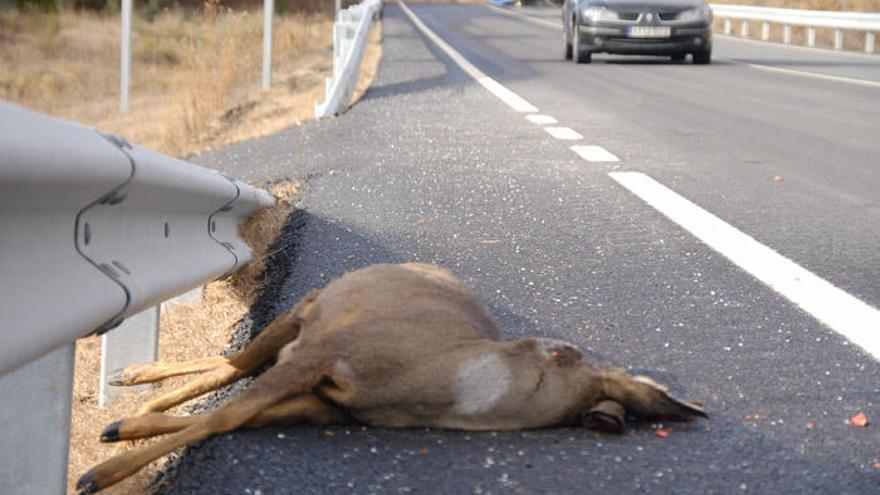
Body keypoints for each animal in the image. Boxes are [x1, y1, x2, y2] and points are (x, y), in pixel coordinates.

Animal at [77, 264, 708, 492]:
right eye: (561, 350)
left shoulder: (331, 404)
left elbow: (234, 416)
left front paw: (122, 436)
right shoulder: (329, 350)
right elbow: (227, 410)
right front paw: (100, 470)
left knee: (238, 366)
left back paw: (135, 387)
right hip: (309, 306)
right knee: (238, 363)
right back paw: (134, 388)